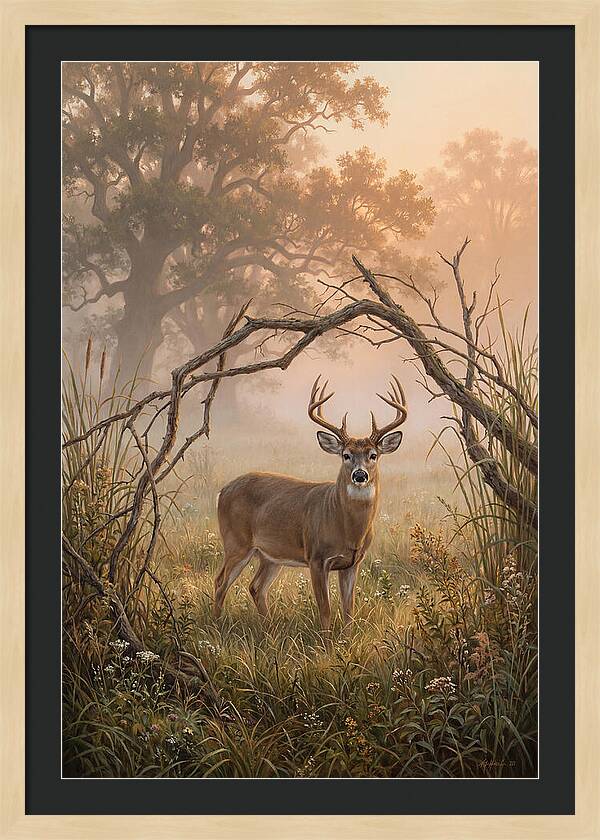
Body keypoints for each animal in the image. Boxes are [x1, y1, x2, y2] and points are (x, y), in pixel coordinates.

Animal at [214, 375, 408, 632]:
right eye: (346, 455)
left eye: (373, 455)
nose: (359, 475)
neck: (348, 529)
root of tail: (222, 491)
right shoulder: (316, 557)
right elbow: (325, 610)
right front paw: (326, 641)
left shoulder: (353, 563)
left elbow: (349, 610)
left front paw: (346, 639)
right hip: (236, 542)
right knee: (220, 582)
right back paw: (216, 626)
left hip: (270, 554)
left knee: (256, 587)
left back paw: (269, 630)